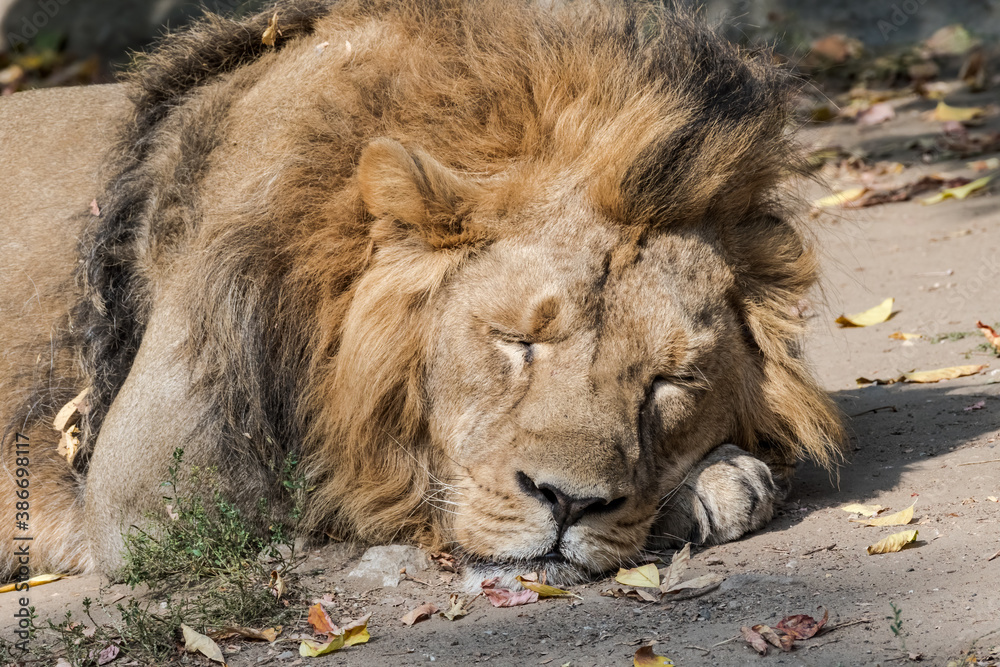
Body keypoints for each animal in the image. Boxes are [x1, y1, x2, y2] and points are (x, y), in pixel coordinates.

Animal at [0, 0, 845, 587]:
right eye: (515, 341)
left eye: (670, 380)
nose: (568, 502)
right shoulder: (156, 492)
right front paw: (721, 483)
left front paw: (720, 475)